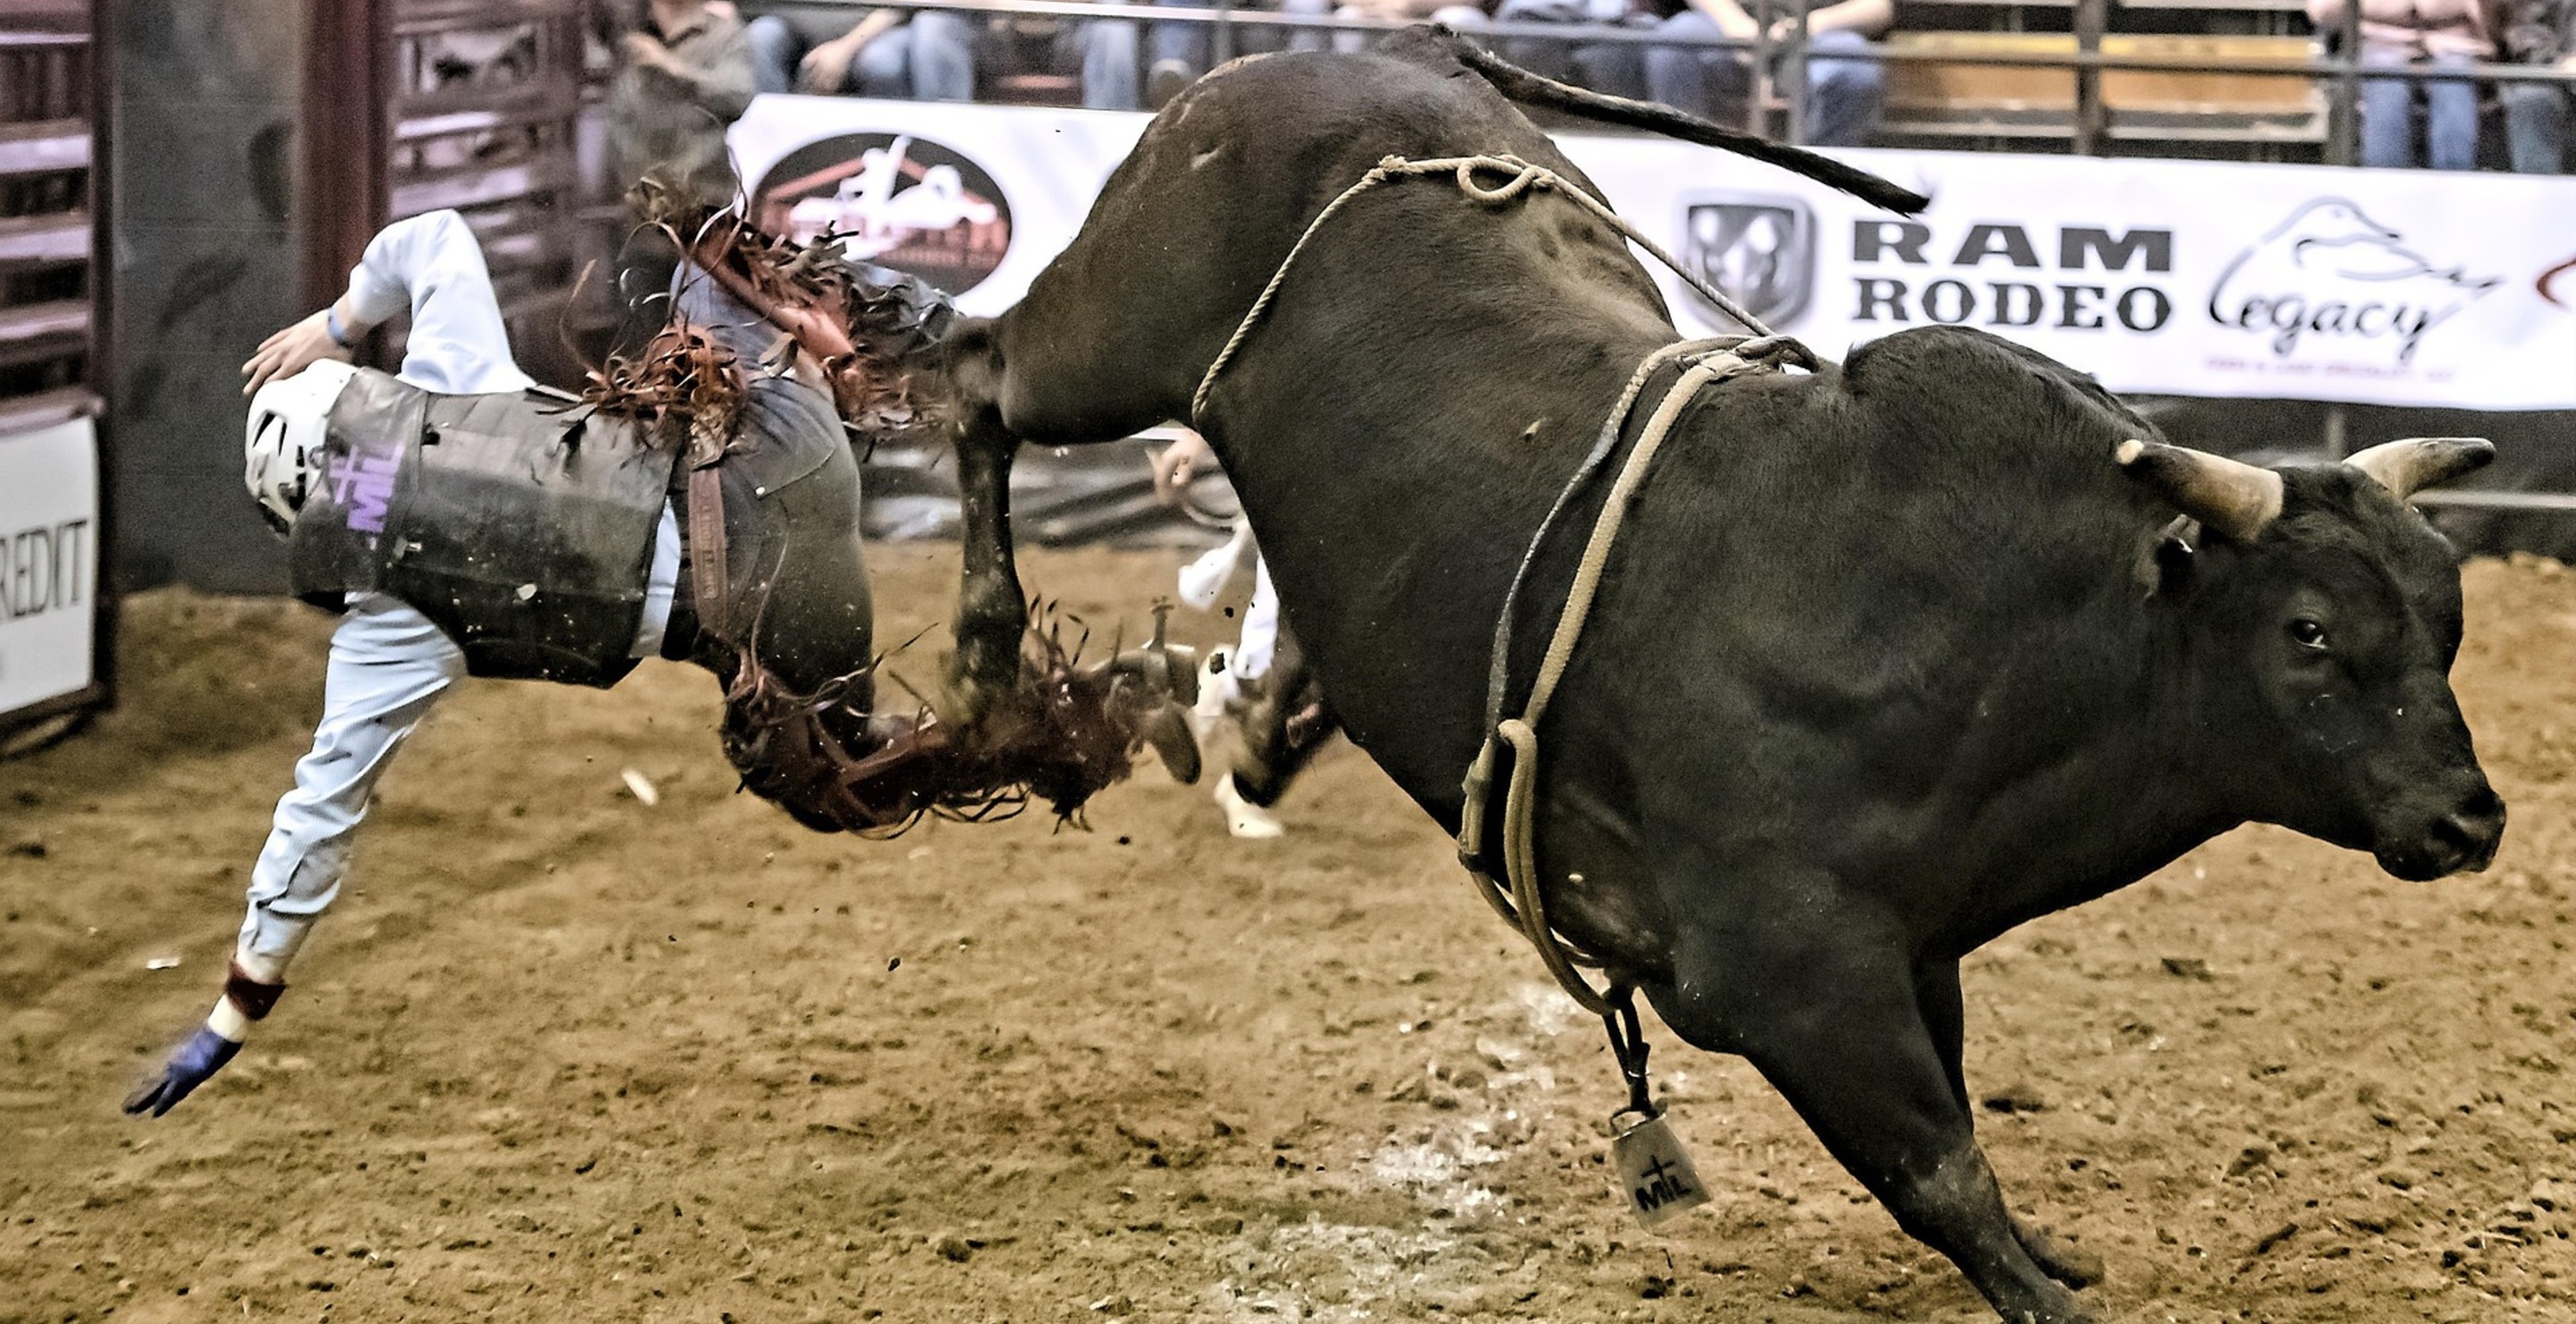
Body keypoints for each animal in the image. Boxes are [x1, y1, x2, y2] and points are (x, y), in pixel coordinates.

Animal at [926, 28, 2505, 1324]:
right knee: (977, 371)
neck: (1956, 632)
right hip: (1114, 334)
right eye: (2309, 631)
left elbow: (1964, 1135)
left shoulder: (1915, 950)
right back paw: (987, 661)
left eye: (2446, 620)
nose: (2471, 819)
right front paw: (2043, 1281)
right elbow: (1943, 1173)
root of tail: (1362, 47)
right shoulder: (1795, 981)